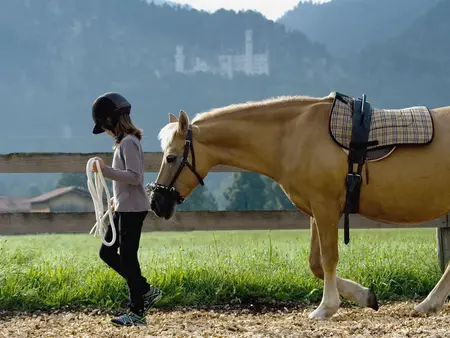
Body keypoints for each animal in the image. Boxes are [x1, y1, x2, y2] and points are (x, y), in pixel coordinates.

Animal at [149, 91, 450, 318]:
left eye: (172, 157)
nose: (157, 202)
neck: (293, 136)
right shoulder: (316, 211)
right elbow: (316, 264)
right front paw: (365, 296)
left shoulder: (325, 207)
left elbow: (329, 259)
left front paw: (326, 308)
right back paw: (428, 304)